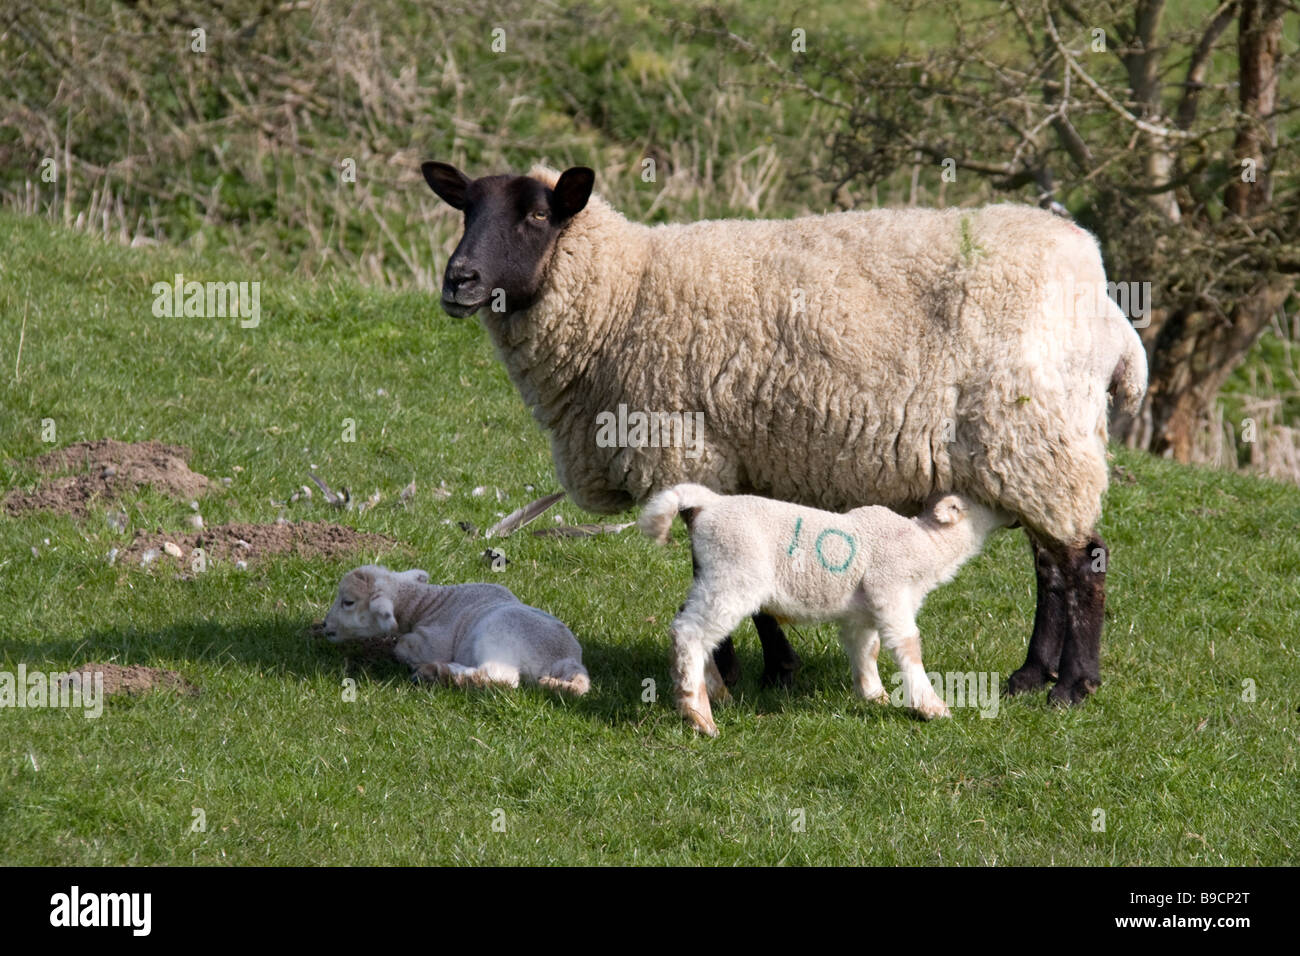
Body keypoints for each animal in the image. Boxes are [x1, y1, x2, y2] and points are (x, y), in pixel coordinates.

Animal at [323, 565, 590, 695]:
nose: (325, 626)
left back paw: (437, 672)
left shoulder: (434, 642)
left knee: (500, 677)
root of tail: (567, 659)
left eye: (348, 602)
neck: (427, 604)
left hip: (498, 635)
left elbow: (401, 646)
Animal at [420, 160, 1148, 708]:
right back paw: (1029, 677)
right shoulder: (733, 466)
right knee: (1051, 564)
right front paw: (771, 668)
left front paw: (737, 671)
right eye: (466, 212)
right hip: (1026, 451)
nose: (459, 280)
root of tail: (1107, 302)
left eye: (537, 216)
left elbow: (709, 561)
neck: (622, 298)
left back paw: (1072, 687)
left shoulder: (689, 451)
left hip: (1035, 436)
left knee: (1082, 562)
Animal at [639, 483, 1012, 735]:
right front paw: (932, 707)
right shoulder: (890, 590)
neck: (927, 546)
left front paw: (875, 696)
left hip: (713, 577)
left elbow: (867, 649)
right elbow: (908, 646)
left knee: (692, 625)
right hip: (734, 575)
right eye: (988, 498)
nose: (1015, 517)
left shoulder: (862, 610)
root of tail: (709, 504)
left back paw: (717, 693)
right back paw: (699, 716)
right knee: (689, 633)